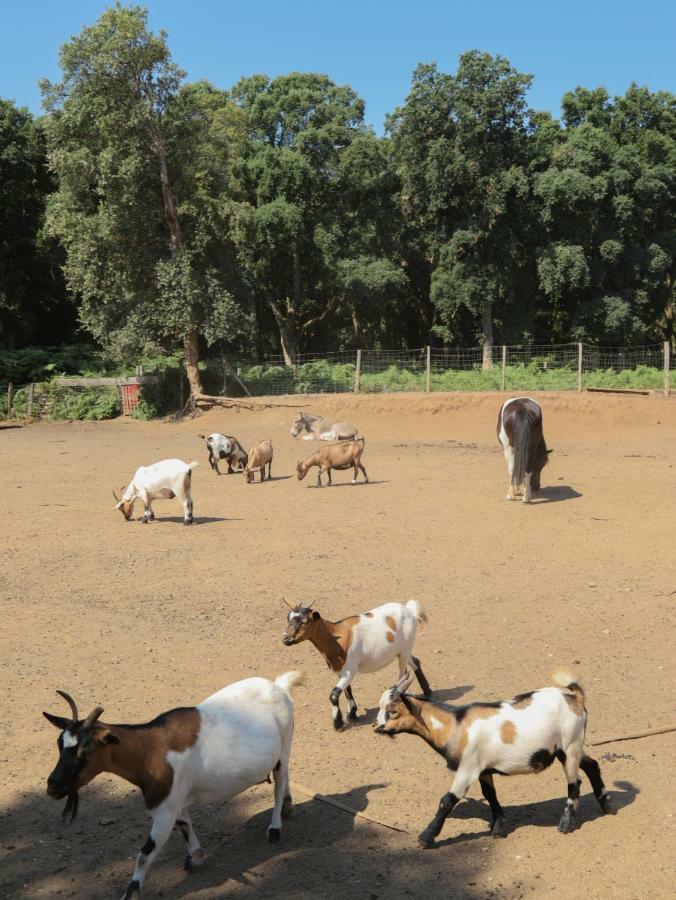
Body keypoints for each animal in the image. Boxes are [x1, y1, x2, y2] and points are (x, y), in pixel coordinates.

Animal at [43, 676, 304, 900]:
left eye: (86, 750)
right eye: (59, 744)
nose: (53, 787)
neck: (149, 751)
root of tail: (278, 686)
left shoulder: (164, 810)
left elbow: (145, 853)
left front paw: (131, 893)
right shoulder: (176, 800)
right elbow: (185, 825)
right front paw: (195, 857)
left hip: (286, 741)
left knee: (279, 782)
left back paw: (275, 827)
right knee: (284, 775)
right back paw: (288, 806)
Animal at [282, 596, 430, 732]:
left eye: (304, 622)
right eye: (288, 618)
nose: (286, 639)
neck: (337, 639)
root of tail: (409, 610)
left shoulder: (349, 670)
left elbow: (334, 694)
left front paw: (338, 723)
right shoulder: (342, 671)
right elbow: (347, 690)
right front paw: (352, 714)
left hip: (405, 650)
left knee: (403, 675)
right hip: (403, 650)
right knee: (415, 662)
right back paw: (427, 692)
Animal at [372, 664, 616, 848]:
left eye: (393, 711)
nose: (377, 727)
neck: (456, 725)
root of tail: (576, 699)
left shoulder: (467, 769)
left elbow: (447, 800)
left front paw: (426, 837)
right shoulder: (483, 769)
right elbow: (490, 795)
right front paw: (498, 828)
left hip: (569, 746)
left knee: (574, 782)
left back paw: (566, 823)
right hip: (573, 746)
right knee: (592, 765)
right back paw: (607, 806)